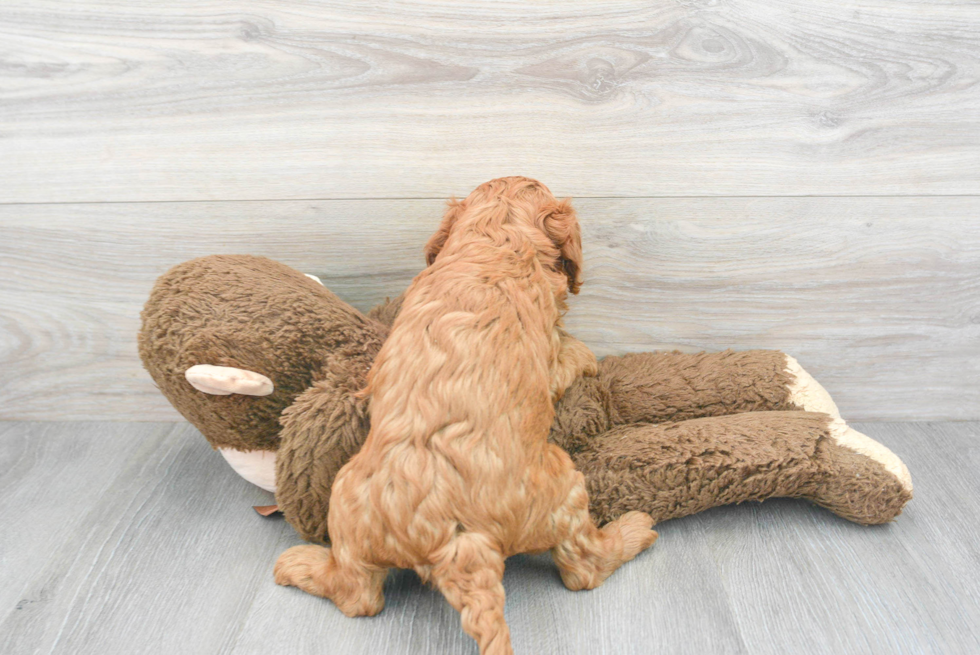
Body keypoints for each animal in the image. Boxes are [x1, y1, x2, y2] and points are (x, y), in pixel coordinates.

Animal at [276, 177, 660, 652]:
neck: (496, 235)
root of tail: (462, 541)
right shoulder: (550, 351)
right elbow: (571, 352)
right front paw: (586, 355)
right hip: (565, 486)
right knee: (583, 568)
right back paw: (635, 529)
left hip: (347, 498)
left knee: (359, 595)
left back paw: (298, 565)